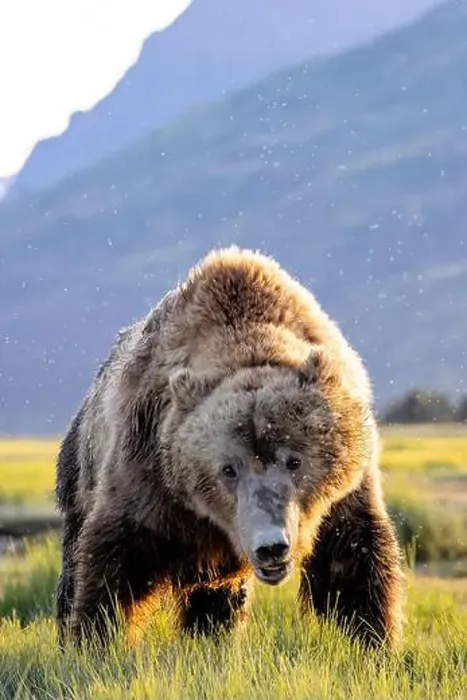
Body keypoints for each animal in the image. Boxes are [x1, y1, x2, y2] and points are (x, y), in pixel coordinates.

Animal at [55, 246, 404, 650]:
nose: (271, 546)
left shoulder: (344, 490)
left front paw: (375, 642)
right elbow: (115, 563)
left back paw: (211, 637)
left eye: (294, 461)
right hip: (79, 473)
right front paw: (96, 642)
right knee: (75, 559)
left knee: (219, 597)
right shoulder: (146, 469)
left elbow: (351, 559)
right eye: (228, 468)